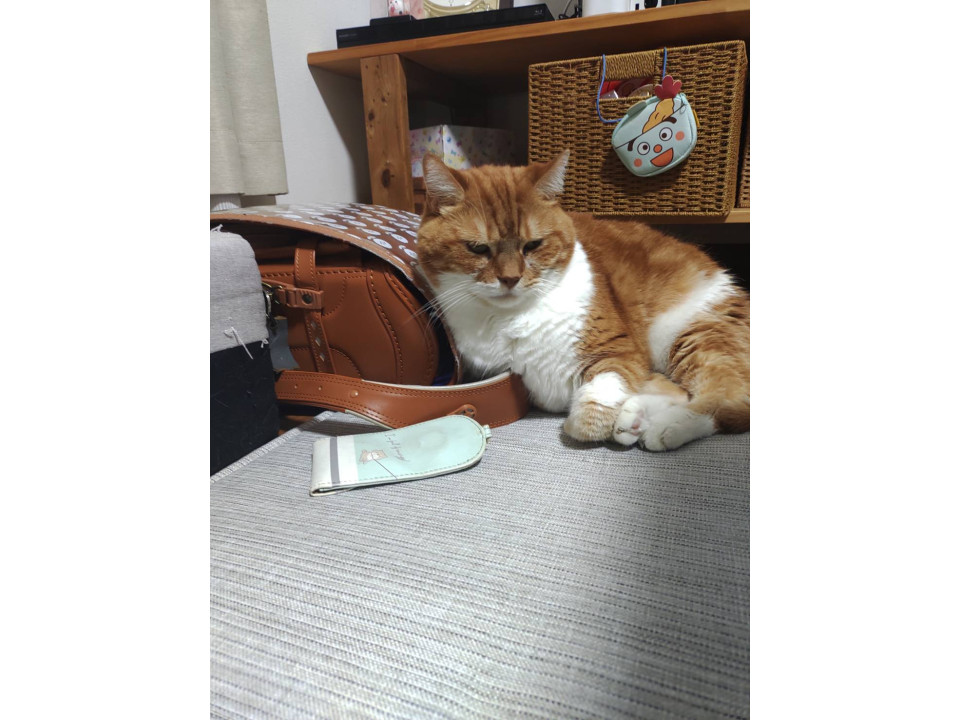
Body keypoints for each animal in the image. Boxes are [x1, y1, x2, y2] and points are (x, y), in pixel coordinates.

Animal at [414, 151, 749, 451]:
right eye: (477, 248)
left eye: (533, 245)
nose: (510, 278)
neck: (511, 318)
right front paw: (630, 417)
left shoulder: (618, 350)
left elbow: (593, 405)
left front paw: (595, 420)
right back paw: (636, 420)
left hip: (695, 334)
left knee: (729, 400)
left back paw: (666, 427)